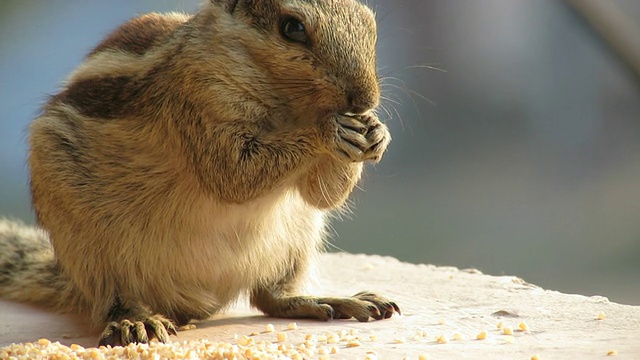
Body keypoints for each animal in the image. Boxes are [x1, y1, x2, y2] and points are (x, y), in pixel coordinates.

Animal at [1, 0, 400, 346]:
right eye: (292, 28)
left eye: (368, 20)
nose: (364, 99)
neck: (287, 107)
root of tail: (195, 302)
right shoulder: (197, 101)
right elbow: (234, 174)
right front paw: (328, 130)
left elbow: (322, 195)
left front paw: (377, 132)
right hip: (92, 251)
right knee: (112, 298)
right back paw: (136, 320)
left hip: (296, 241)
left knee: (271, 296)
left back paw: (331, 301)